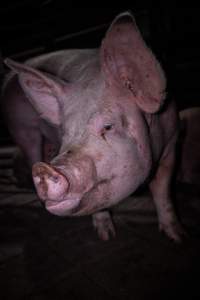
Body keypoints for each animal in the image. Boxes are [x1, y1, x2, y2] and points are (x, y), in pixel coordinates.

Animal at [0, 11, 185, 241]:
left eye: (108, 127)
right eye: (65, 133)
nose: (44, 170)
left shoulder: (172, 140)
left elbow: (162, 189)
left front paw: (178, 237)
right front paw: (107, 237)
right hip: (21, 127)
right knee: (31, 151)